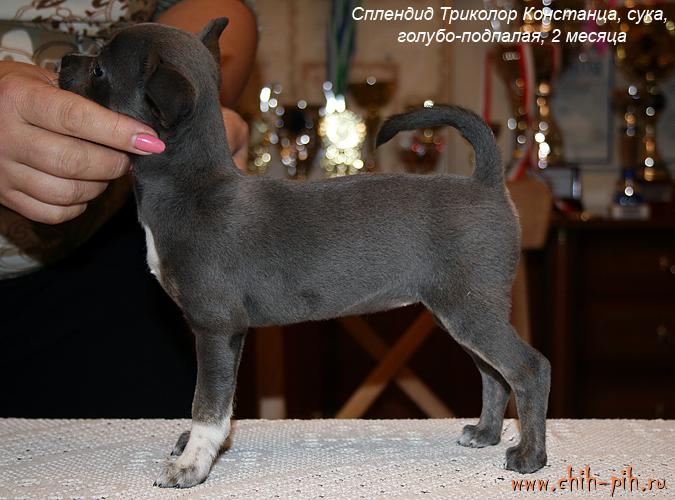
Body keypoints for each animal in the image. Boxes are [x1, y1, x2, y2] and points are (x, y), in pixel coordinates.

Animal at [59, 18, 551, 488]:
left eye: (99, 69)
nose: (63, 60)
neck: (192, 189)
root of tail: (486, 182)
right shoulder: (231, 333)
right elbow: (223, 402)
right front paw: (195, 448)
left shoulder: (215, 328)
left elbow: (208, 404)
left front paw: (191, 465)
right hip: (460, 312)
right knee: (494, 374)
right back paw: (485, 433)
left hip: (469, 310)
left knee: (529, 368)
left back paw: (530, 456)